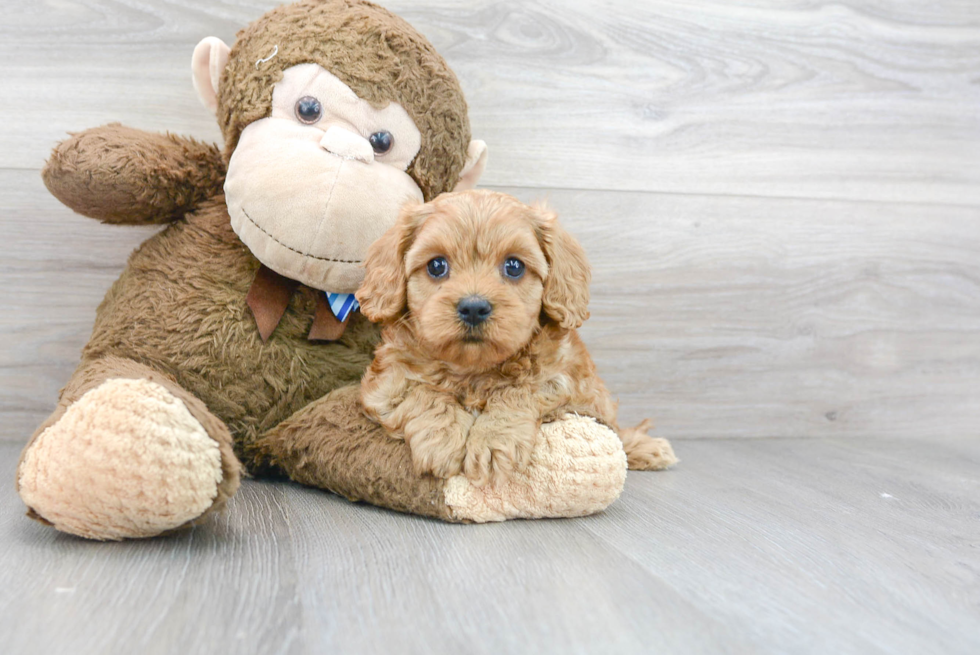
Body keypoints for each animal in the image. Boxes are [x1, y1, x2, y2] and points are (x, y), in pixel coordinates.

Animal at [356, 190, 676, 486]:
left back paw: (647, 449)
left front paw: (493, 441)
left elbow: (519, 389)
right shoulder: (385, 381)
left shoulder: (565, 381)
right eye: (437, 266)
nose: (474, 307)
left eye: (514, 266)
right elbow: (422, 391)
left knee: (615, 428)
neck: (474, 370)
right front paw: (441, 437)